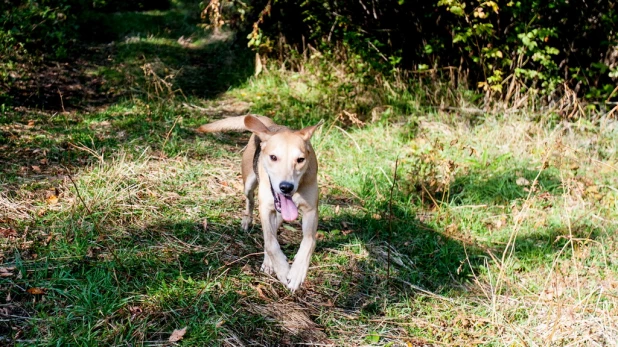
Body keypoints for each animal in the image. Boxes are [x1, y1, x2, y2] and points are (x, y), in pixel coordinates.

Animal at [196, 115, 322, 292]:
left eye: (300, 160)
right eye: (273, 157)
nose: (286, 187)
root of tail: (269, 125)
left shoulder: (311, 210)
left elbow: (309, 242)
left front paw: (297, 272)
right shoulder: (266, 209)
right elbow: (270, 243)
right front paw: (283, 270)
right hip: (249, 183)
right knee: (250, 201)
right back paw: (248, 223)